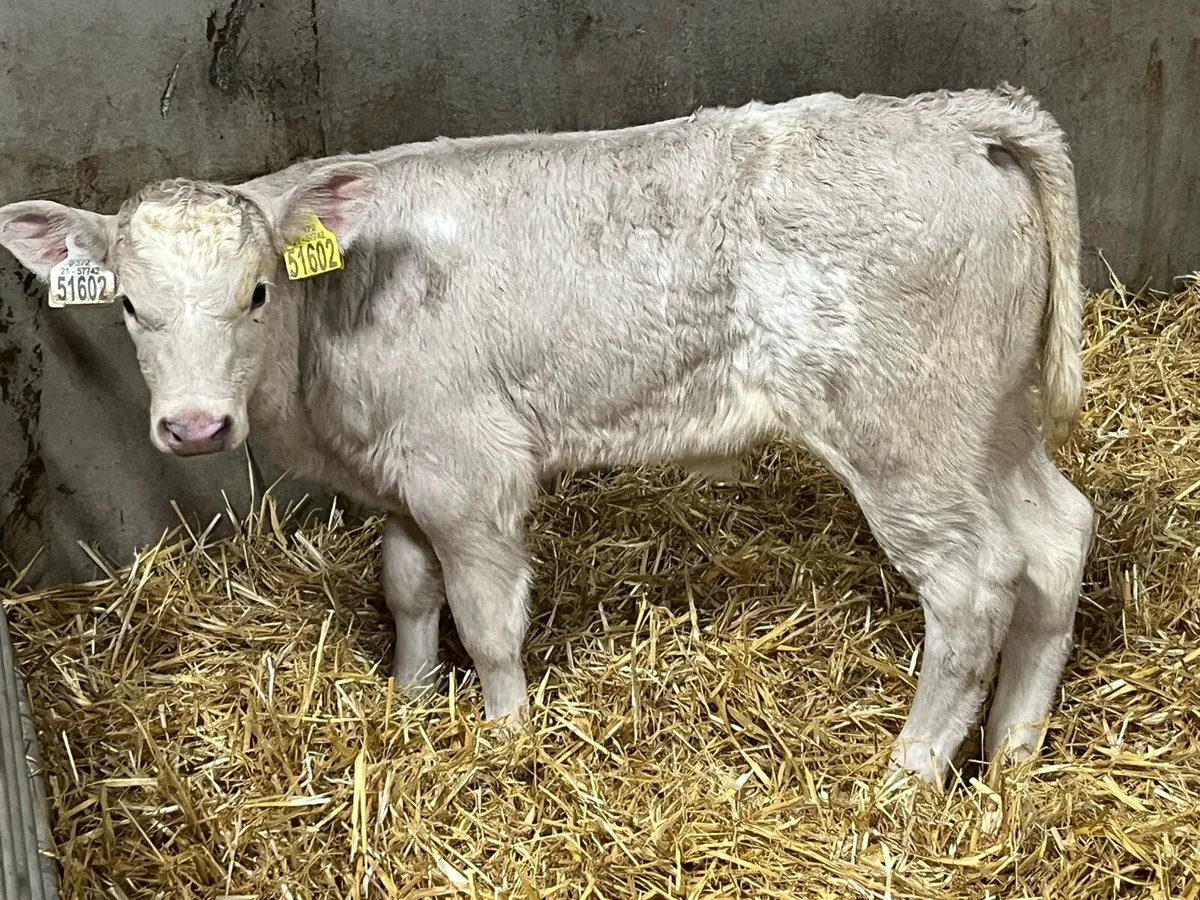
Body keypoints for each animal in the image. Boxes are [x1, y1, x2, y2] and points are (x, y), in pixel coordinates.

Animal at [0, 84, 1093, 784]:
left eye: (258, 291)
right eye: (128, 304)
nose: (193, 425)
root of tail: (952, 119)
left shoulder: (468, 471)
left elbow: (487, 620)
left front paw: (503, 737)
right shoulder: (406, 477)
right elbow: (408, 591)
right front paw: (409, 702)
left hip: (902, 431)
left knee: (973, 582)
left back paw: (909, 777)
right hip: (986, 421)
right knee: (1056, 536)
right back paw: (1013, 756)